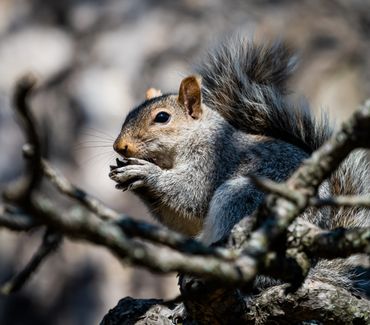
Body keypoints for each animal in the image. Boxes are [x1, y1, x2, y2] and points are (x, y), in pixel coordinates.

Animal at [110, 39, 370, 292]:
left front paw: (145, 173)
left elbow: (191, 194)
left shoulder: (214, 161)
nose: (119, 146)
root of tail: (309, 267)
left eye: (162, 117)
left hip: (243, 200)